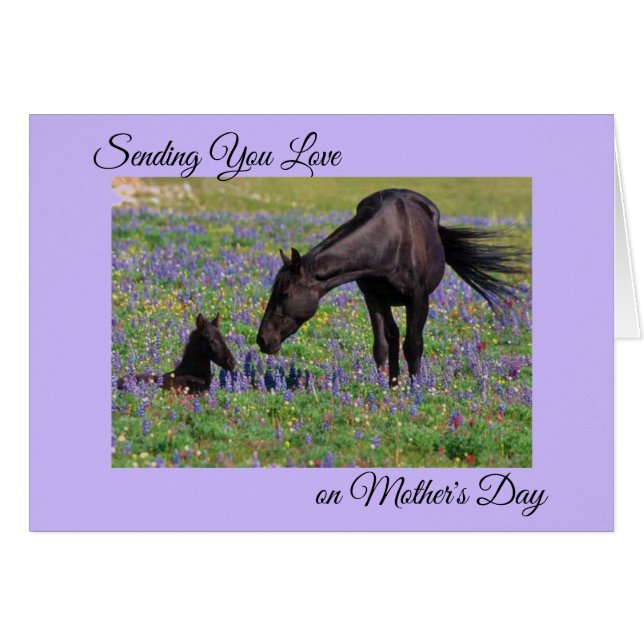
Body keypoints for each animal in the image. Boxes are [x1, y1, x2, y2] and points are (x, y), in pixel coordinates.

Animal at [257, 188, 525, 386]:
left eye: (285, 292)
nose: (262, 339)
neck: (388, 244)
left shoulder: (418, 298)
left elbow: (413, 345)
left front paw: (416, 389)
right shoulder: (373, 297)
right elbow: (381, 345)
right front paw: (384, 388)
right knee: (393, 335)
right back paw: (394, 383)